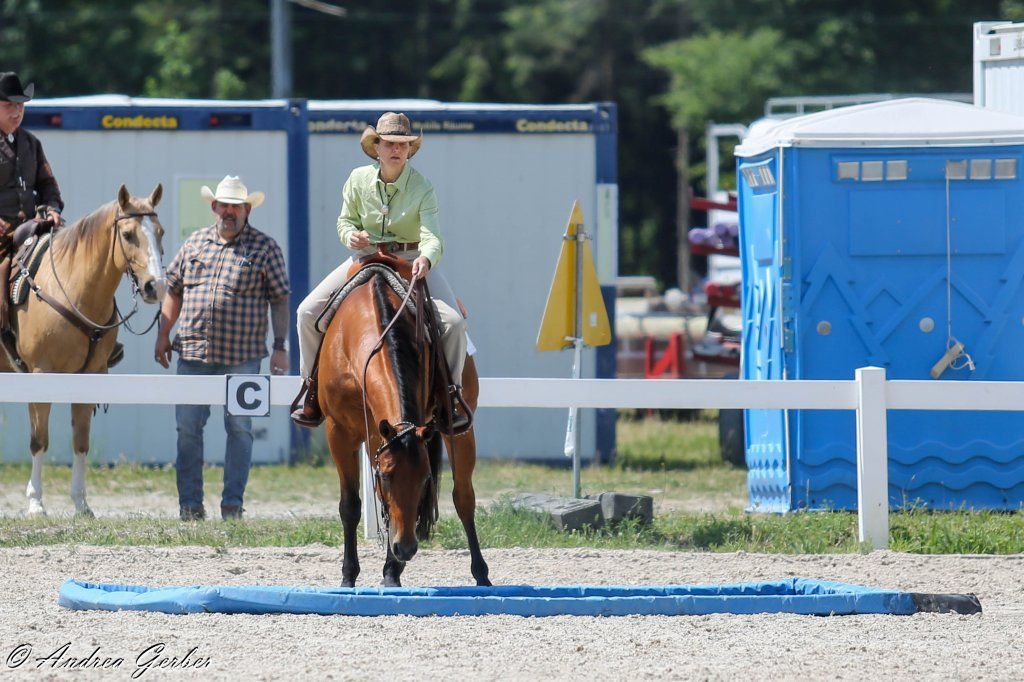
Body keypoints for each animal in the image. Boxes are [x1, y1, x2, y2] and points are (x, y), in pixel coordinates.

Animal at [0, 184, 166, 516]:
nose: (156, 286)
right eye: (128, 234)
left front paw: (81, 503)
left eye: (160, 232)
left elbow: (81, 442)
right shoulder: (40, 373)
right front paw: (35, 503)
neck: (71, 288)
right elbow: (39, 441)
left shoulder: (90, 375)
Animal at [318, 257, 491, 587]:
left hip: (460, 431)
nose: (407, 548)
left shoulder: (388, 430)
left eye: (425, 479)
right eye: (386, 477)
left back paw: (481, 575)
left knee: (464, 497)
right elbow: (351, 505)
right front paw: (348, 576)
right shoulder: (340, 432)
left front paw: (390, 571)